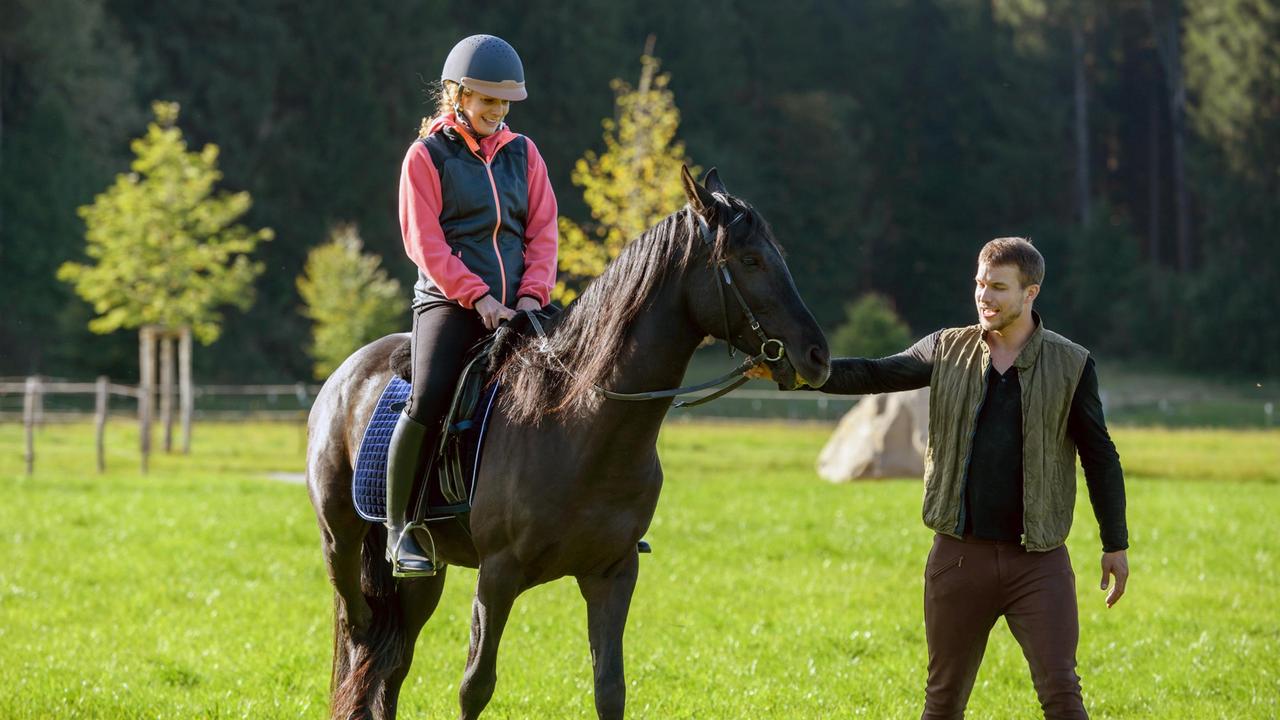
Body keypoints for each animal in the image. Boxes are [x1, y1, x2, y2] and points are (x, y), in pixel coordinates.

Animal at [307, 165, 829, 712]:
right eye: (749, 260)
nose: (817, 356)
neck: (580, 427)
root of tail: (345, 373)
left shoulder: (612, 574)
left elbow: (610, 688)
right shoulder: (497, 576)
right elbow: (476, 685)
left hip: (426, 574)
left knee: (392, 665)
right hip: (341, 542)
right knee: (362, 633)